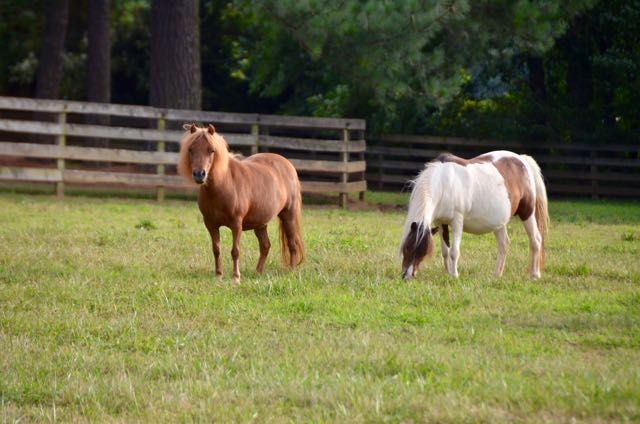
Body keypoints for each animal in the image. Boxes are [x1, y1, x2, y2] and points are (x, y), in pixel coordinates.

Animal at [178, 123, 304, 284]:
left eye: (211, 150)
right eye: (190, 149)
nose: (199, 174)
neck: (222, 186)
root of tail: (287, 164)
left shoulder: (236, 224)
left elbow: (235, 251)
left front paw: (236, 278)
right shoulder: (211, 224)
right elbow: (216, 249)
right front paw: (218, 275)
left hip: (289, 215)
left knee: (292, 243)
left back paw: (291, 272)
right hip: (260, 223)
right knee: (265, 246)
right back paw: (258, 272)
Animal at [400, 151, 549, 280]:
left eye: (422, 252)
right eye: (406, 247)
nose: (406, 276)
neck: (444, 182)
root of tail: (522, 160)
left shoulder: (457, 221)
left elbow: (454, 251)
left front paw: (454, 275)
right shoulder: (440, 222)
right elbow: (445, 251)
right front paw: (448, 272)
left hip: (527, 213)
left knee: (536, 240)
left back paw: (535, 275)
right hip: (499, 222)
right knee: (504, 244)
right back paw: (496, 275)